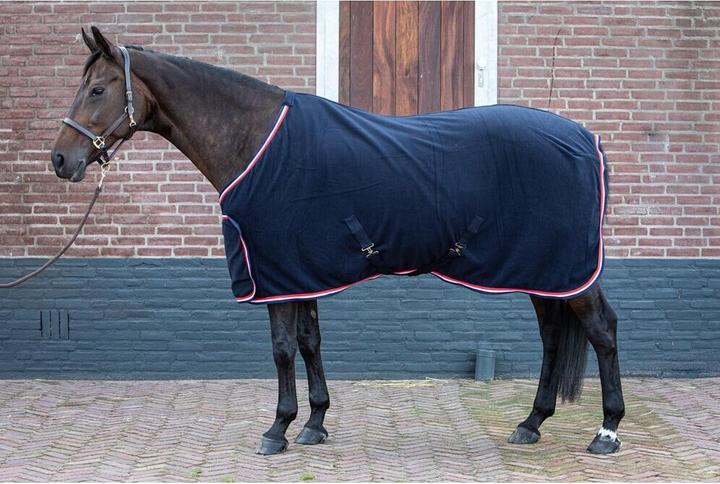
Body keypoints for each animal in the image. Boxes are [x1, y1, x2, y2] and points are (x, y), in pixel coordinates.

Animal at [50, 27, 625, 455]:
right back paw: (531, 423)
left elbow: (282, 349)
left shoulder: (277, 271)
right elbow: (310, 342)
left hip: (567, 270)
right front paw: (315, 423)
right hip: (544, 270)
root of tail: (587, 139)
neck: (256, 141)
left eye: (97, 89)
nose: (60, 160)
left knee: (602, 331)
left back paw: (607, 431)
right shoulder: (299, 271)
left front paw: (277, 430)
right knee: (553, 337)